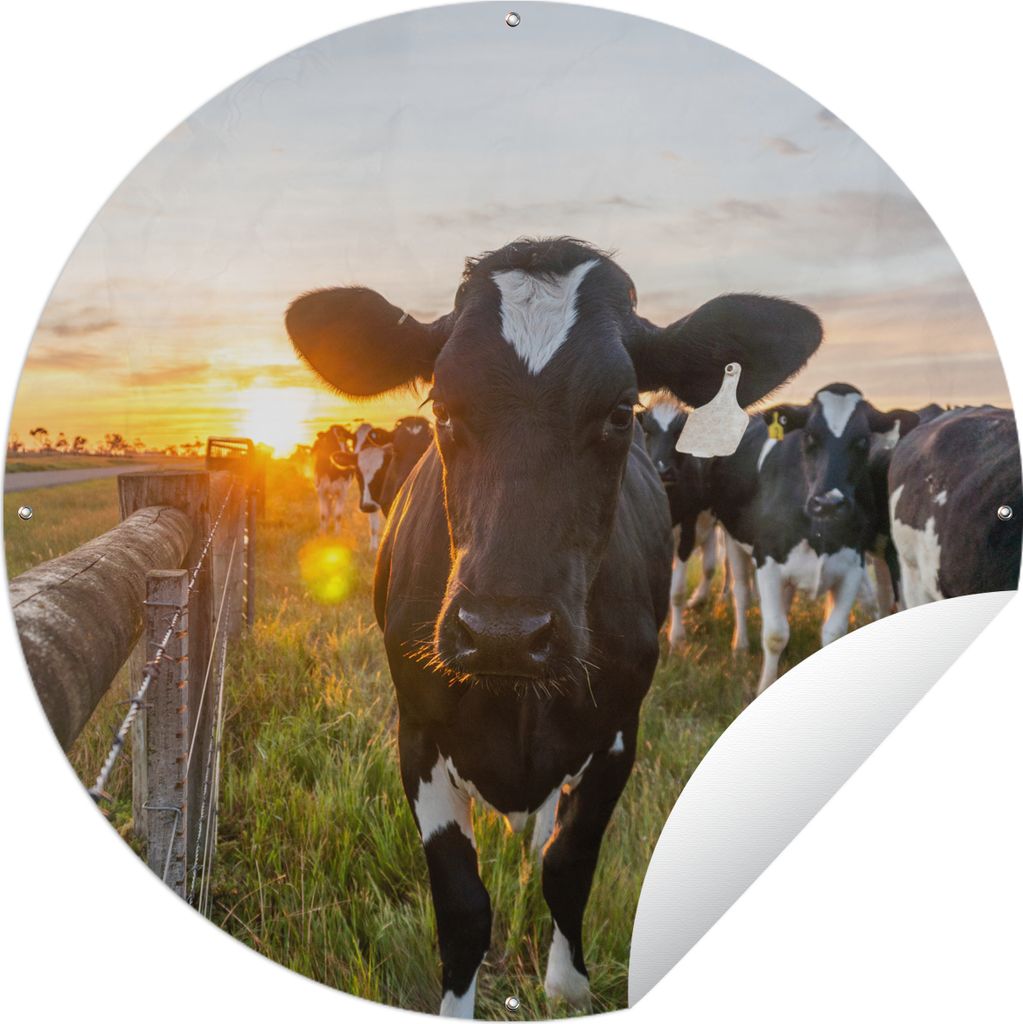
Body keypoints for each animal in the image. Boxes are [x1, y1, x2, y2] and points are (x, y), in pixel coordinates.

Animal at [286, 237, 822, 1017]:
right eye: (443, 405)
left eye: (621, 412)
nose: (504, 632)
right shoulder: (416, 731)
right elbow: (462, 904)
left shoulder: (619, 730)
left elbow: (567, 862)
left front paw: (566, 985)